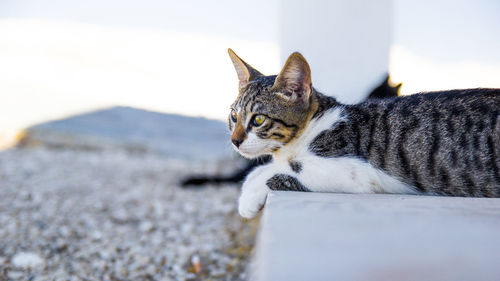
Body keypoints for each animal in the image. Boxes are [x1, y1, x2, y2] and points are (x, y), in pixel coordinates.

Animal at [228, 48, 500, 217]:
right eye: (233, 116)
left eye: (258, 119)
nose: (235, 141)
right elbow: (261, 169)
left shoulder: (353, 172)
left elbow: (283, 172)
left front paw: (250, 196)